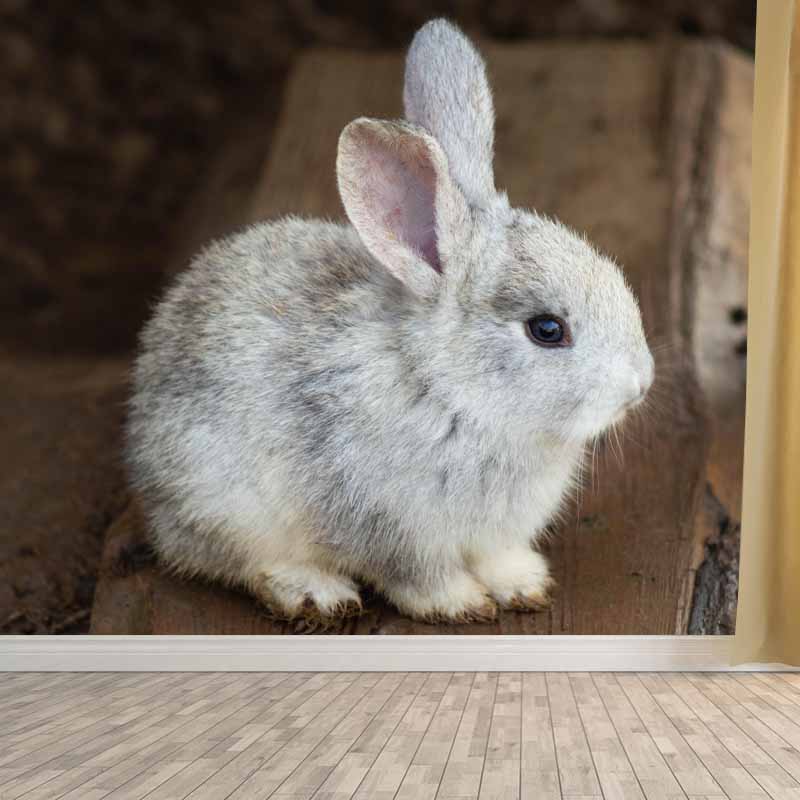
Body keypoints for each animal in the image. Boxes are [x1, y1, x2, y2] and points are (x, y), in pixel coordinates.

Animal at [126, 18, 654, 624]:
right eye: (547, 330)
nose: (641, 384)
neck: (451, 391)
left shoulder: (493, 534)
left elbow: (498, 557)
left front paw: (524, 585)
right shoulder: (390, 526)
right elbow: (417, 577)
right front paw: (461, 605)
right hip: (224, 503)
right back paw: (316, 593)